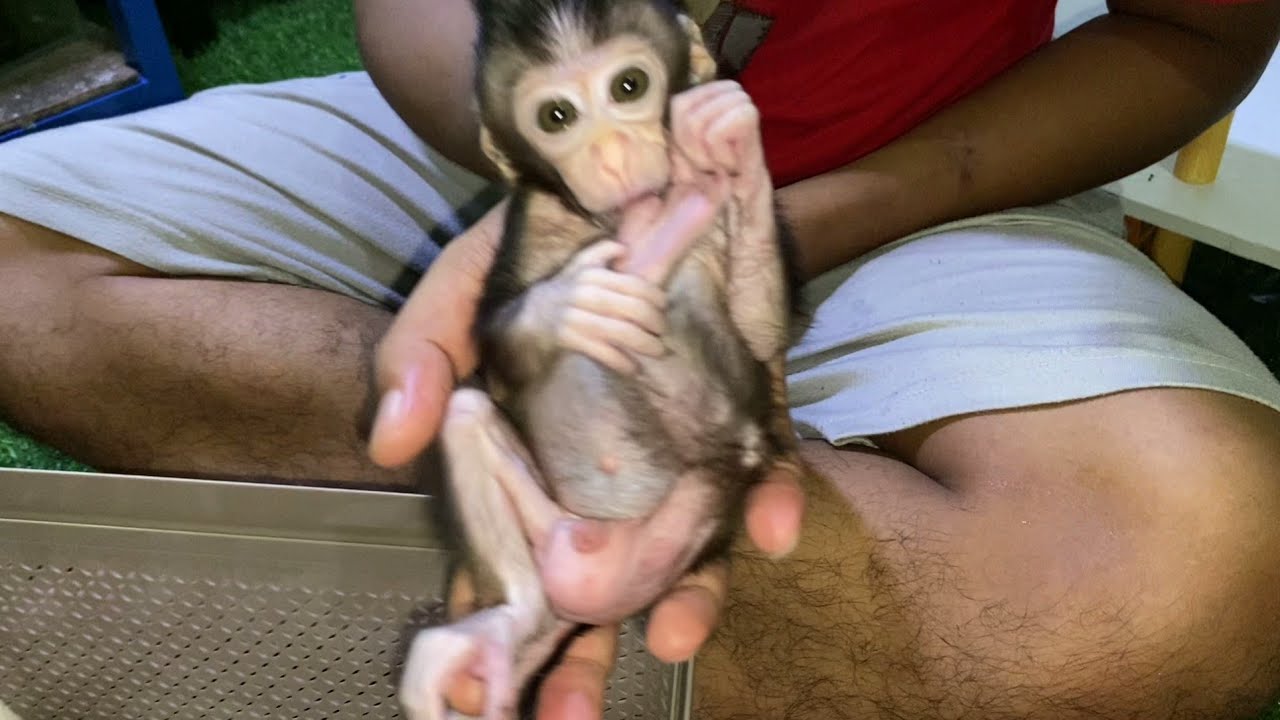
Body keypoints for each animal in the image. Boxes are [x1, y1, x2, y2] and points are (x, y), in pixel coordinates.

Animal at [397, 1, 808, 718]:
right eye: (558, 116)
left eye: (628, 86)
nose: (613, 153)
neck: (609, 219)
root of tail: (581, 593)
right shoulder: (533, 217)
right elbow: (497, 359)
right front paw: (568, 303)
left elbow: (762, 336)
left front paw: (731, 146)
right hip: (551, 535)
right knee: (467, 411)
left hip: (678, 527)